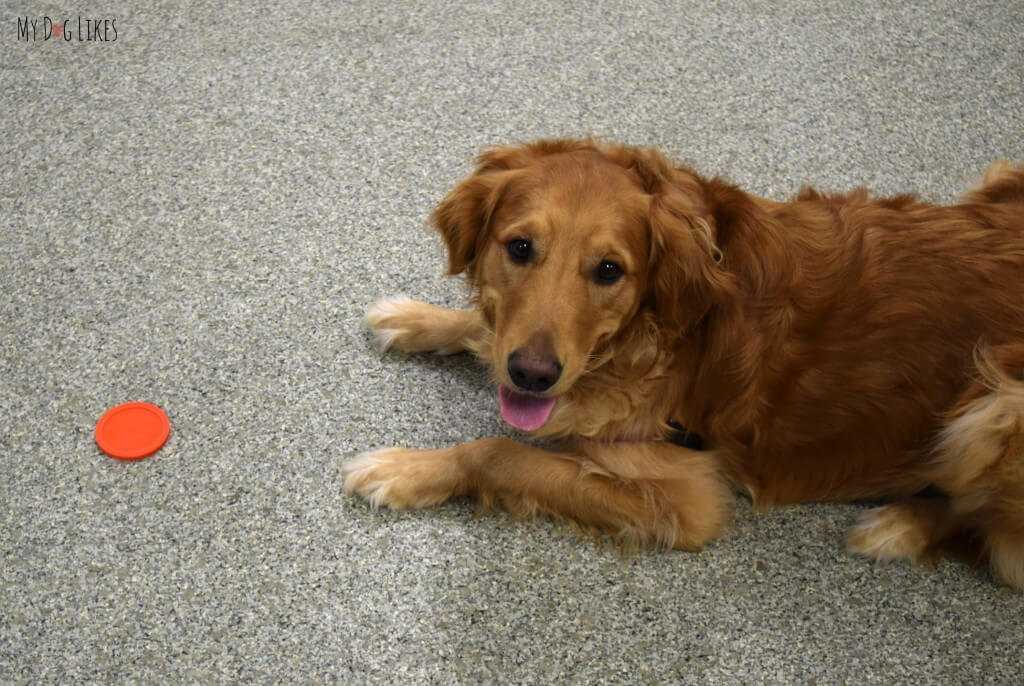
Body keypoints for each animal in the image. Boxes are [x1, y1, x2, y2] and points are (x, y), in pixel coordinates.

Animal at [344, 139, 1024, 589]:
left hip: (995, 405)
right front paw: (415, 318)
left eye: (609, 270)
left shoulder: (686, 494)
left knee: (996, 540)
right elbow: (485, 334)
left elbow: (502, 453)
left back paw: (898, 526)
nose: (534, 374)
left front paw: (406, 470)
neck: (645, 338)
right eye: (519, 247)